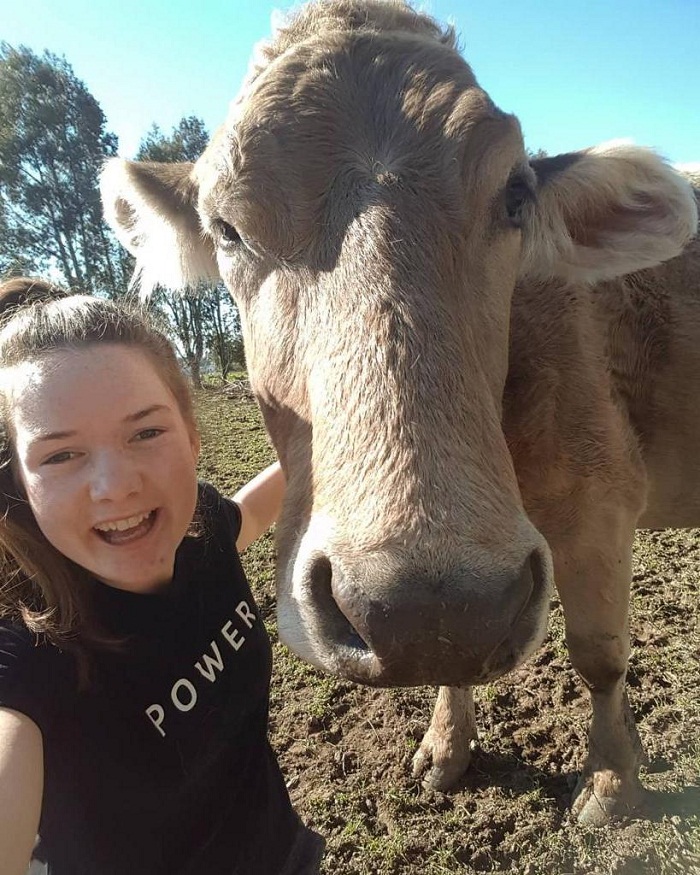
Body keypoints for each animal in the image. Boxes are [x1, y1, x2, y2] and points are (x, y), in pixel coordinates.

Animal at [100, 0, 698, 825]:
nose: (416, 601)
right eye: (226, 227)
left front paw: (611, 781)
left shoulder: (600, 504)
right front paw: (447, 746)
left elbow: (600, 655)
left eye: (516, 196)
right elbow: (452, 658)